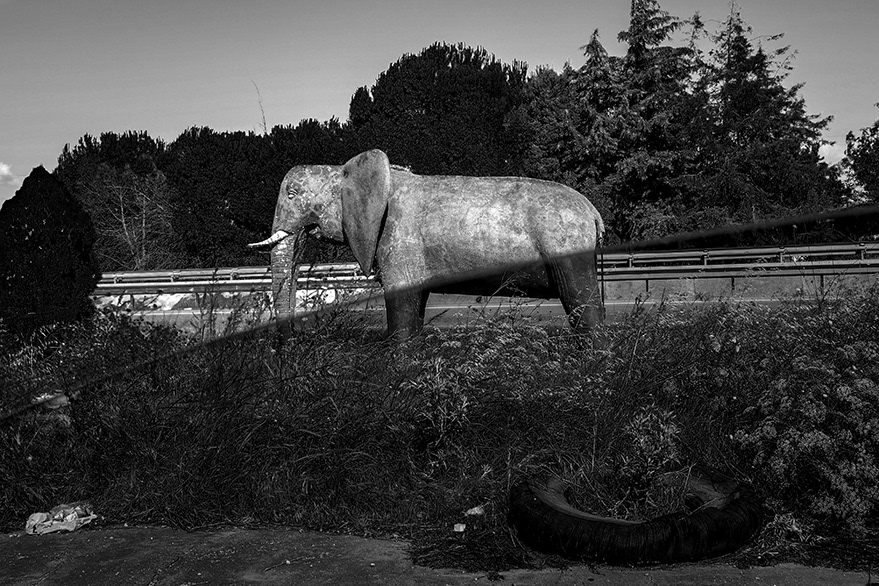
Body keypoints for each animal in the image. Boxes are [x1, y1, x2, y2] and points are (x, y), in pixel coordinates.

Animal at [248, 149, 605, 338]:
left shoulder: (397, 237)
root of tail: (593, 213)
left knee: (582, 307)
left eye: (292, 193)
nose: (295, 339)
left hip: (567, 246)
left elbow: (402, 305)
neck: (347, 168)